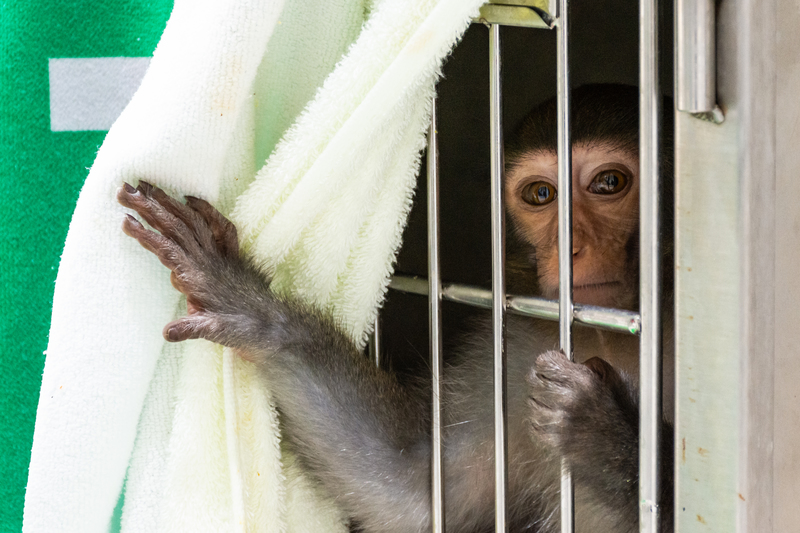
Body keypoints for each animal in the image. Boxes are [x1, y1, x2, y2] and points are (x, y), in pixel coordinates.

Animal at [117, 84, 676, 532]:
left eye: (609, 183)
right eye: (541, 194)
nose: (570, 246)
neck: (607, 334)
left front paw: (599, 431)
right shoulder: (514, 351)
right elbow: (413, 491)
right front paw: (247, 304)